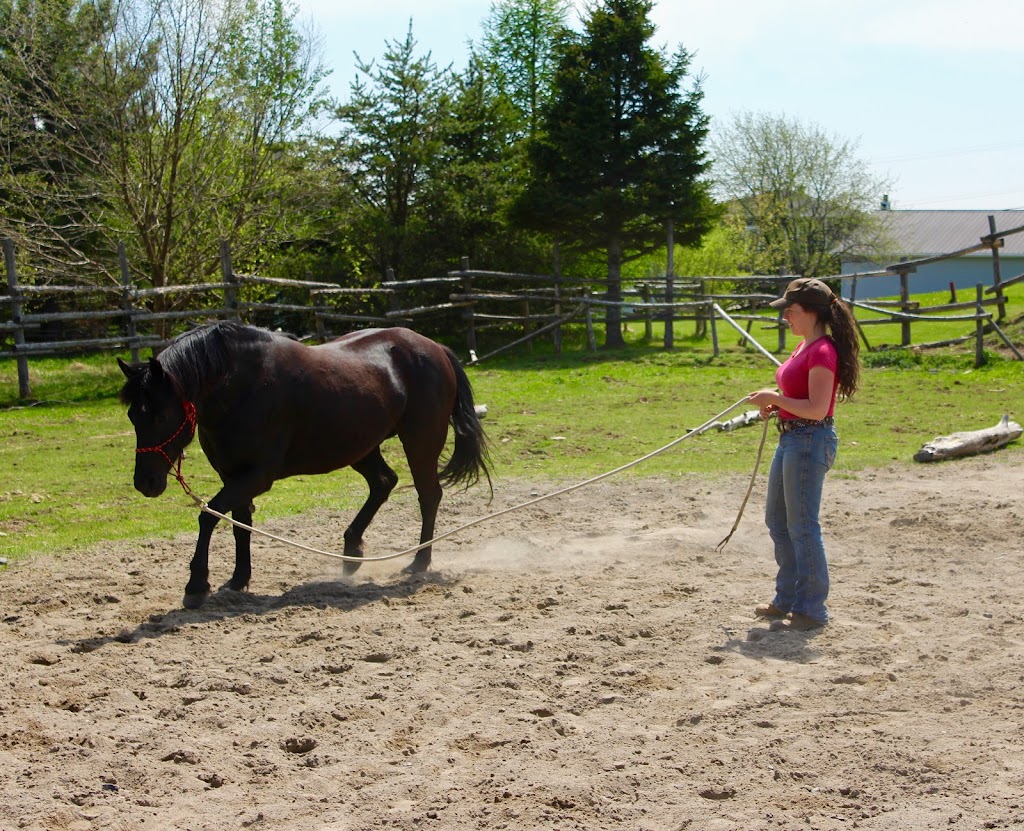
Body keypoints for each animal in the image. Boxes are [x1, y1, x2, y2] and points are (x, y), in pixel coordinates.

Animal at [117, 325, 489, 609]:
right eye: (132, 415)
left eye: (160, 415)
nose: (145, 482)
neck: (243, 387)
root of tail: (435, 348)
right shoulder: (235, 475)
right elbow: (240, 524)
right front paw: (238, 580)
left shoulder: (256, 476)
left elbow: (209, 516)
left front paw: (197, 585)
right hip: (361, 447)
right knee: (384, 482)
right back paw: (352, 551)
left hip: (420, 442)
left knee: (428, 495)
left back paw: (419, 562)